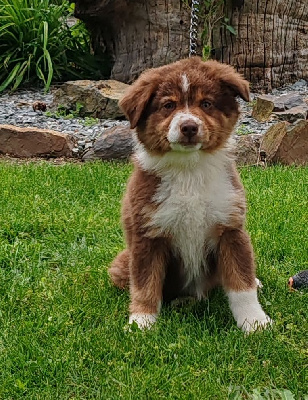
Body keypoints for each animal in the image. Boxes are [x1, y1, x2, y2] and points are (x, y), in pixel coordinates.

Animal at [109, 55, 272, 332]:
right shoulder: (147, 235)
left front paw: (254, 321)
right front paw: (141, 322)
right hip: (123, 260)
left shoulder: (230, 228)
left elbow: (241, 282)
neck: (189, 171)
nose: (188, 127)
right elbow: (144, 284)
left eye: (206, 104)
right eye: (168, 105)